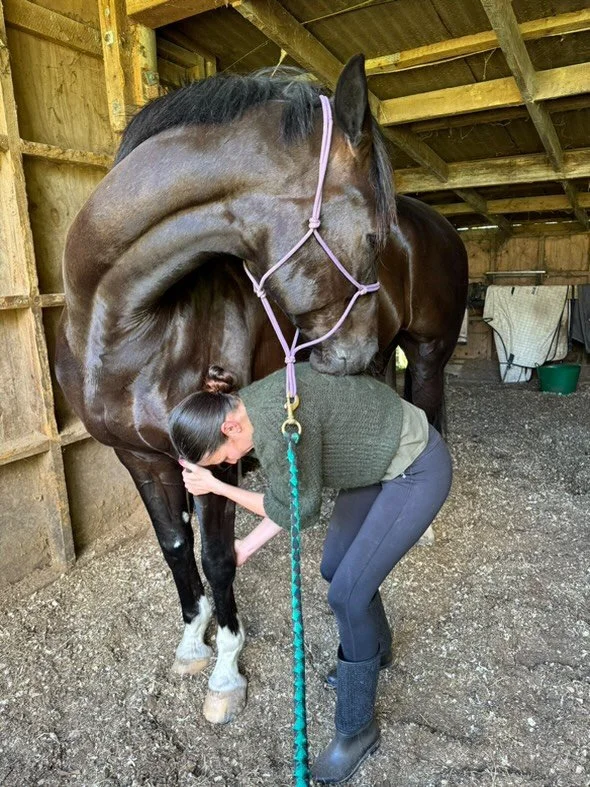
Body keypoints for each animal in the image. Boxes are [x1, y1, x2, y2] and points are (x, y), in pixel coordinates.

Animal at [56, 55, 467, 725]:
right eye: (373, 238)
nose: (346, 355)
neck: (118, 323)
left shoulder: (216, 455)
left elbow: (218, 558)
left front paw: (226, 671)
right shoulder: (138, 456)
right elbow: (176, 546)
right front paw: (192, 641)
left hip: (427, 354)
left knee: (430, 414)